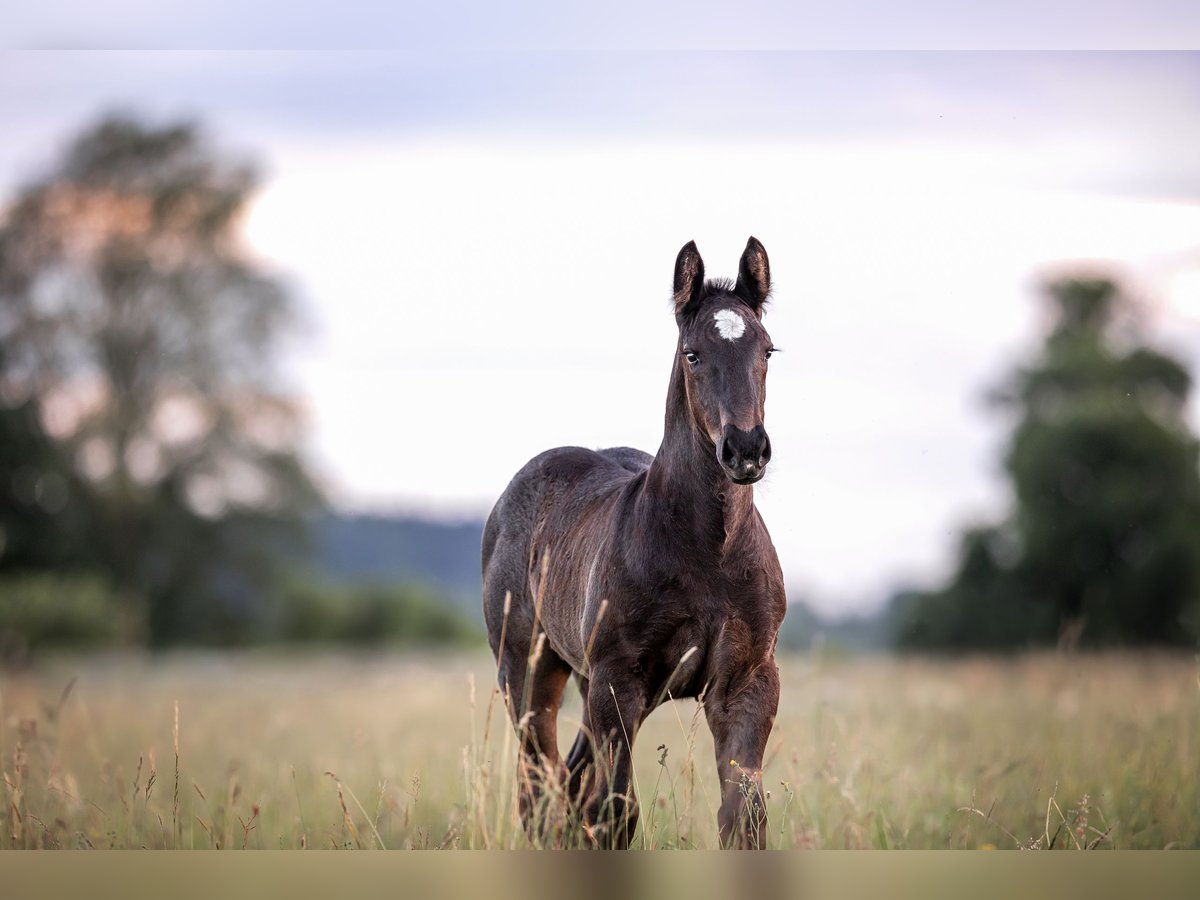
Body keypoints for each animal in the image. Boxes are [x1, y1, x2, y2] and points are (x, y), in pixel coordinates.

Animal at [480, 236, 787, 849]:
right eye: (692, 354)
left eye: (767, 350)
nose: (745, 449)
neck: (710, 552)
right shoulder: (619, 681)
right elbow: (617, 811)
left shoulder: (747, 683)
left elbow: (744, 817)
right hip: (527, 672)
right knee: (540, 789)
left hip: (585, 680)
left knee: (570, 783)